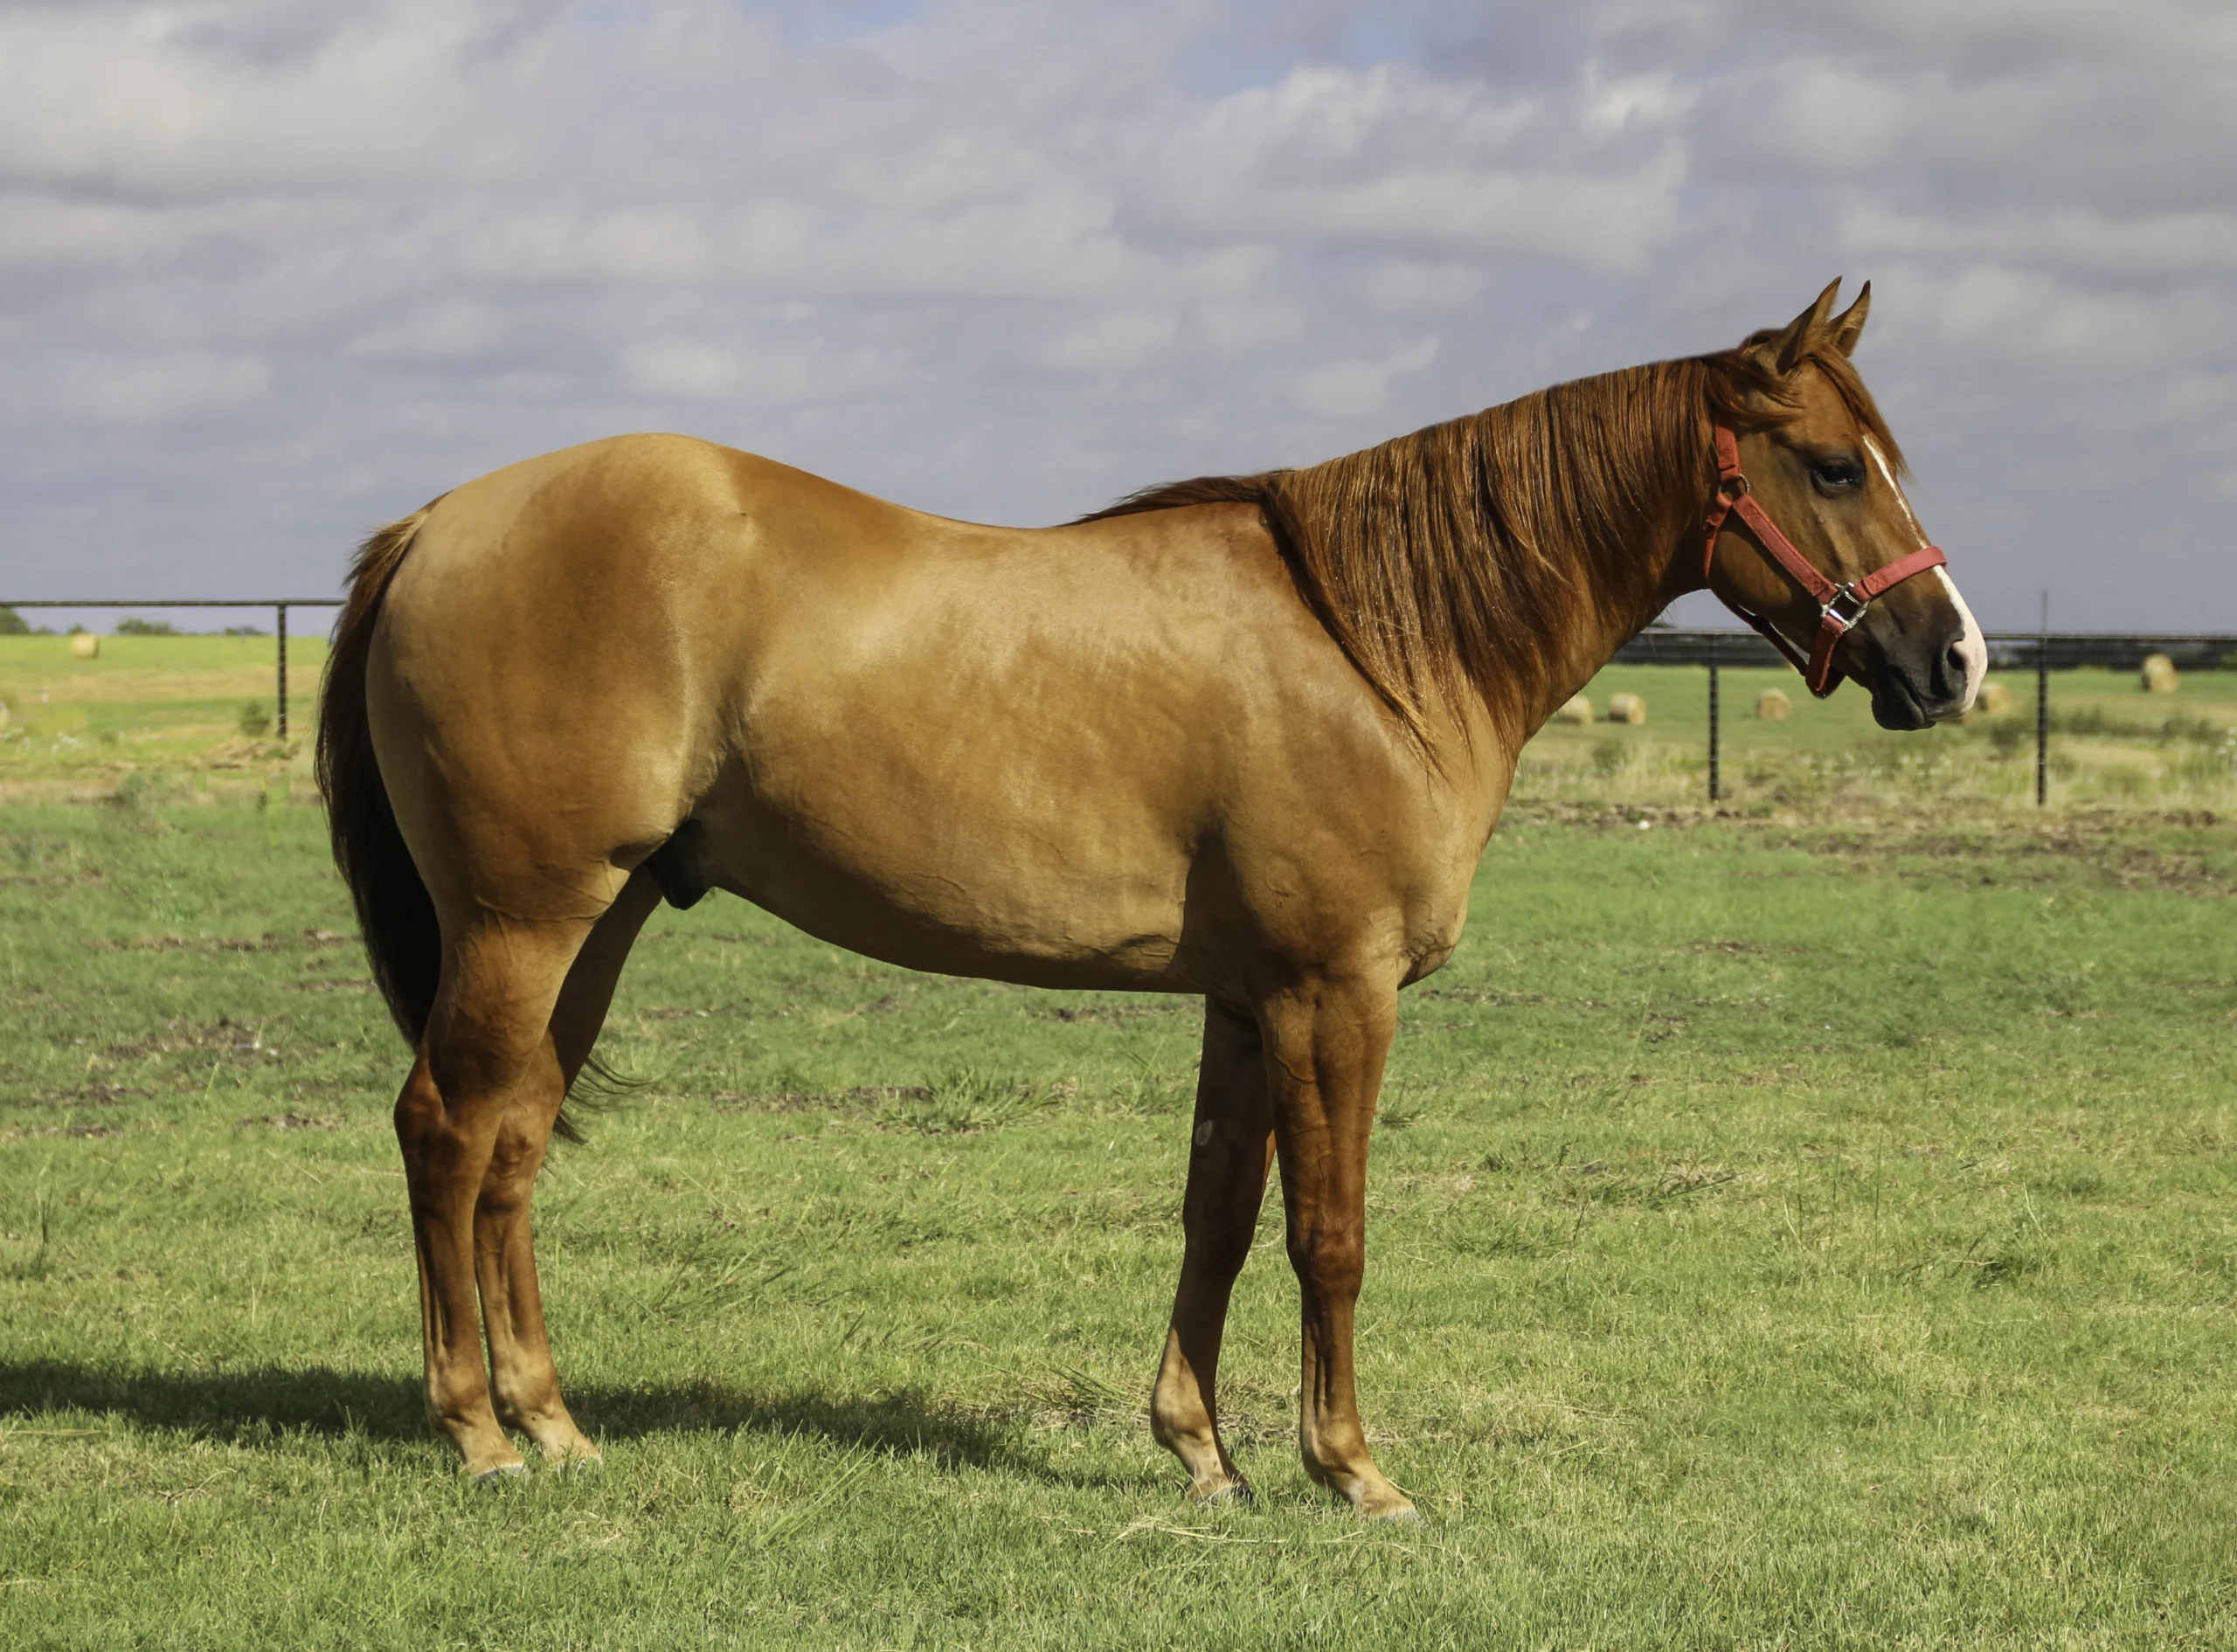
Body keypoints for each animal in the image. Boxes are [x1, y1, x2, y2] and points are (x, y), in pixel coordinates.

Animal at [316, 279, 1983, 1519]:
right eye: (1833, 466)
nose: (1957, 659)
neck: (1376, 643)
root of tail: (439, 519)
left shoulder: (1248, 999)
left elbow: (1220, 1215)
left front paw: (1204, 1450)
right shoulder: (1334, 992)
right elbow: (1331, 1232)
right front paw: (1352, 1470)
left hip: (590, 927)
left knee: (513, 1142)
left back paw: (552, 1422)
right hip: (525, 922)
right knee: (447, 1129)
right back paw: (475, 1431)